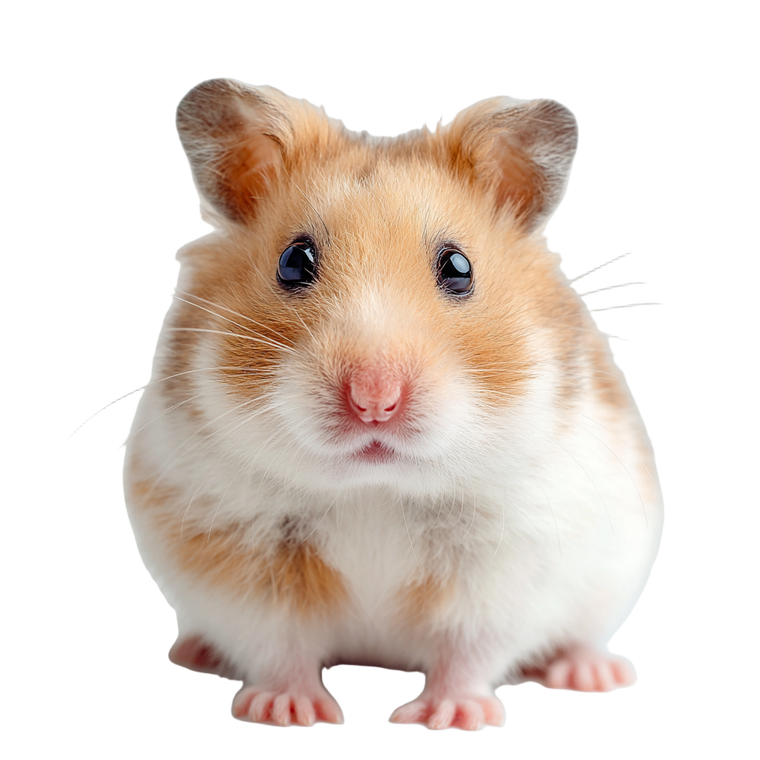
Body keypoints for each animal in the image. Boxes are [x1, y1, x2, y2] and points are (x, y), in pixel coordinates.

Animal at [119, 76, 667, 733]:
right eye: (293, 262)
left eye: (459, 267)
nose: (374, 402)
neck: (374, 490)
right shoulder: (240, 555)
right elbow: (279, 643)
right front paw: (288, 712)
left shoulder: (505, 558)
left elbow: (469, 646)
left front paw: (449, 717)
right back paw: (195, 652)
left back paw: (593, 673)